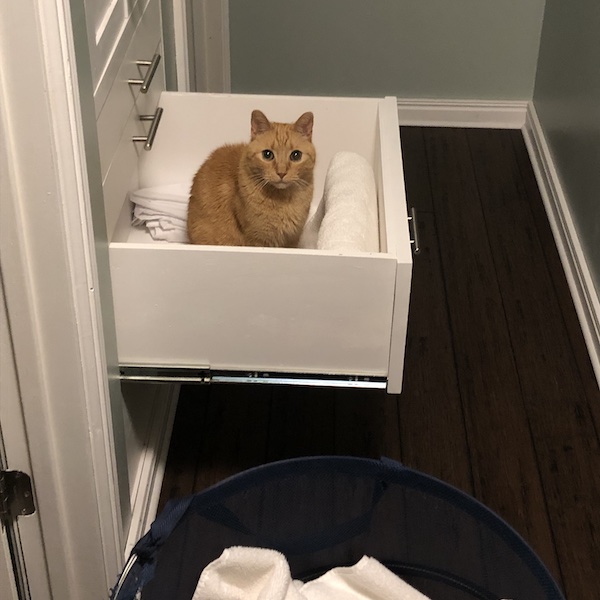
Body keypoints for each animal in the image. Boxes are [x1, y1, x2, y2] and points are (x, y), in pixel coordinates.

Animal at [189, 110, 316, 246]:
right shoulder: (256, 241)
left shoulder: (292, 240)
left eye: (296, 155)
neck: (283, 200)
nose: (281, 173)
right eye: (267, 154)